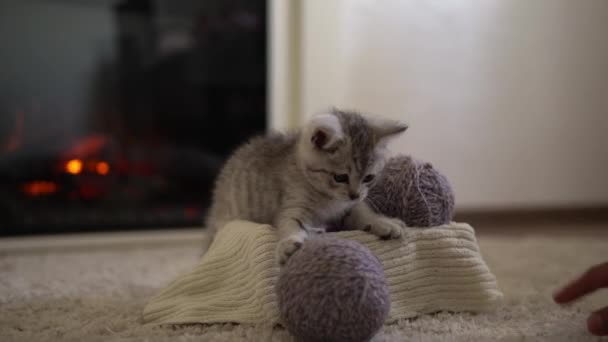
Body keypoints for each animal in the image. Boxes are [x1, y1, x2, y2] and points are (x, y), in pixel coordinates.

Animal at [203, 108, 408, 264]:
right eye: (340, 177)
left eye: (368, 178)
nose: (355, 195)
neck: (328, 198)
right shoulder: (292, 205)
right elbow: (290, 223)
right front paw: (289, 243)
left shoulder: (348, 206)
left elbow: (362, 212)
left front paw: (383, 222)